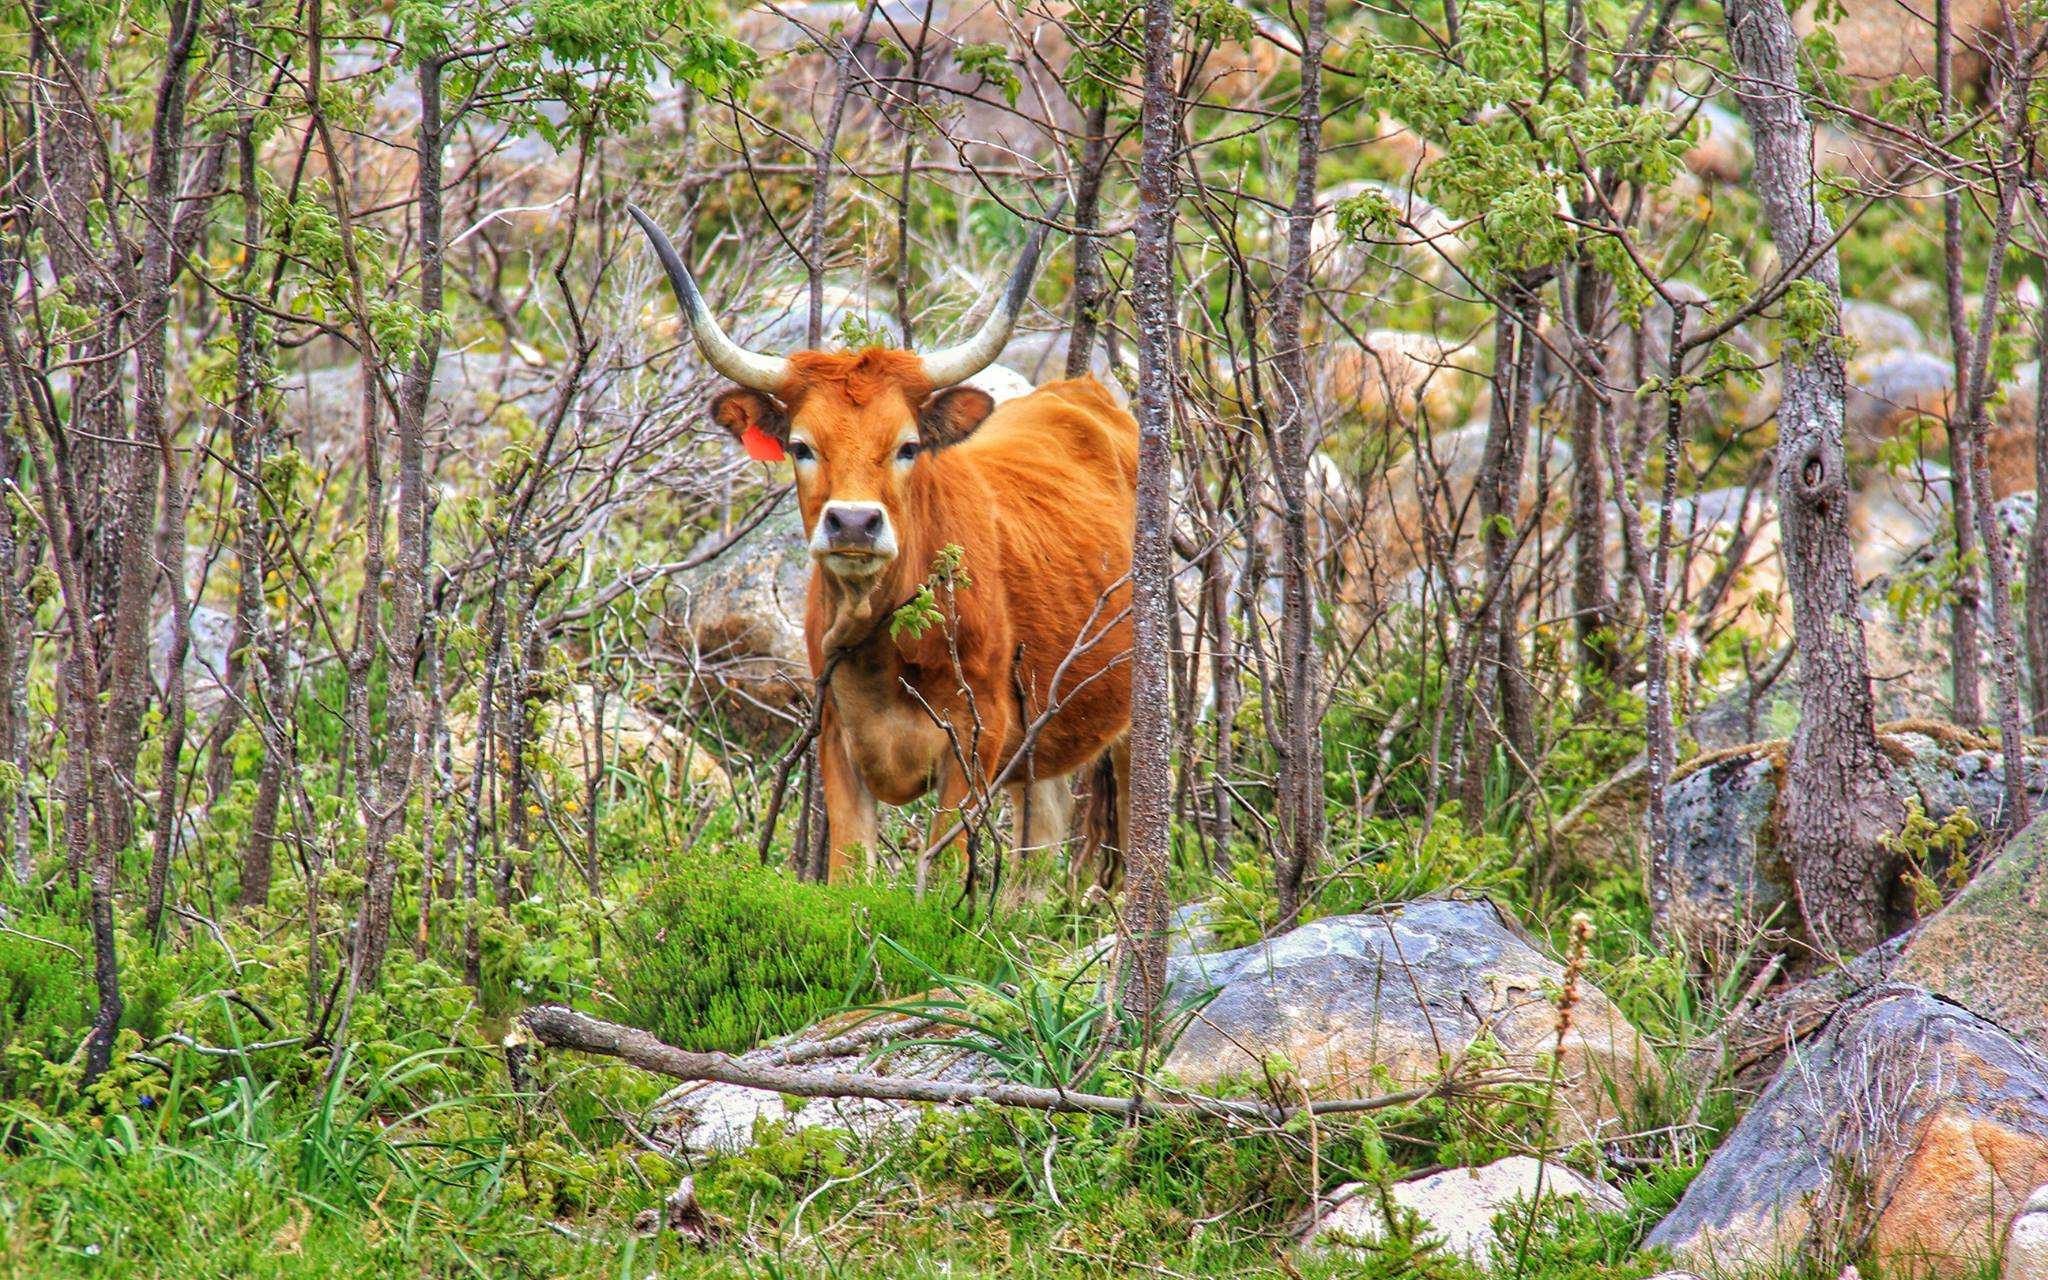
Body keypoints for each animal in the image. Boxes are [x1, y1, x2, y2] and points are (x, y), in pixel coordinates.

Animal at [630, 205, 1137, 893]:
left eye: (906, 445)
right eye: (800, 446)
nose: (853, 522)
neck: (884, 645)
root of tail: (1084, 394)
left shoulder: (975, 741)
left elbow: (944, 875)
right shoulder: (835, 738)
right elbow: (848, 875)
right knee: (1040, 841)